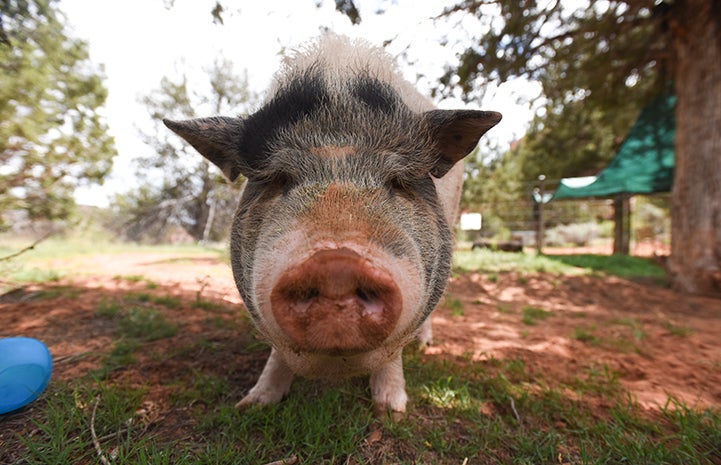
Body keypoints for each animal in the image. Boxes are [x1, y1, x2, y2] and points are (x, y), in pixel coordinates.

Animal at [163, 34, 500, 416]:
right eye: (280, 179)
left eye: (397, 181)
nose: (336, 265)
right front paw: (252, 404)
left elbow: (394, 353)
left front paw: (392, 411)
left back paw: (425, 347)